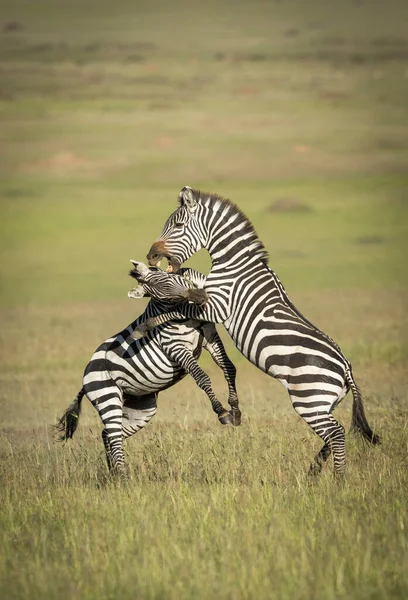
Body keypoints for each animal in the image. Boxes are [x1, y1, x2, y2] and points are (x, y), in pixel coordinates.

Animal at [55, 262, 241, 478]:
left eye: (172, 277)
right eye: (163, 295)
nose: (201, 297)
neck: (183, 315)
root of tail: (86, 374)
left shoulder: (210, 336)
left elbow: (229, 368)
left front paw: (235, 409)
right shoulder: (175, 348)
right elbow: (202, 378)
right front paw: (222, 411)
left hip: (142, 408)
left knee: (108, 433)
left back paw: (114, 473)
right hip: (108, 397)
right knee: (113, 435)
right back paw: (123, 477)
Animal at [133, 185, 380, 476]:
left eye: (178, 225)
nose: (150, 256)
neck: (234, 264)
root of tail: (347, 369)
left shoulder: (218, 307)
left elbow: (182, 308)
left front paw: (146, 325)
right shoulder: (208, 292)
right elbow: (191, 281)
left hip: (309, 400)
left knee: (337, 433)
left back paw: (338, 480)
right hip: (324, 403)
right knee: (332, 435)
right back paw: (313, 473)